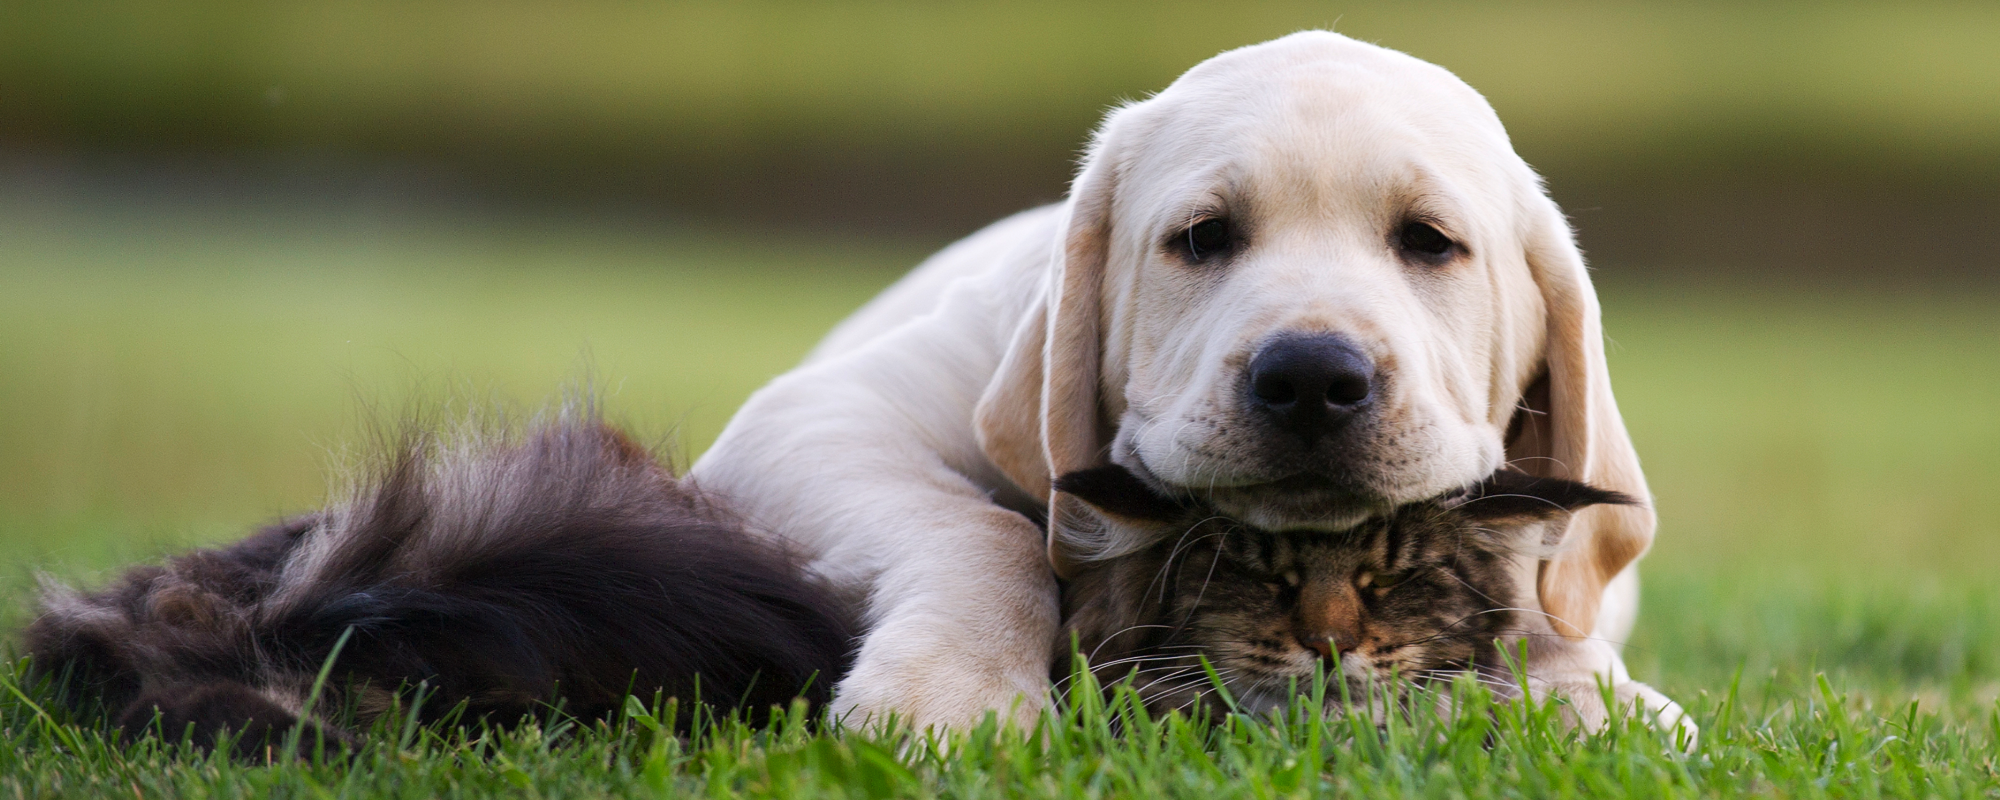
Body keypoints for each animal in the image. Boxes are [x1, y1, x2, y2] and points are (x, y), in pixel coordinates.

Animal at [692, 31, 1688, 736]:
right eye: (1204, 237)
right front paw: (956, 694)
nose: (1312, 376)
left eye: (1429, 241)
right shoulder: (815, 416)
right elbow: (987, 529)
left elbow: (1535, 584)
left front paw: (1591, 692)